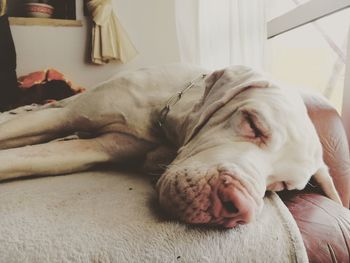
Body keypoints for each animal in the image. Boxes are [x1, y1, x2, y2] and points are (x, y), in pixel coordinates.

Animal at [0, 64, 340, 229]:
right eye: (253, 124)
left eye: (282, 187)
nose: (237, 208)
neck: (164, 116)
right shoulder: (65, 117)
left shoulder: (100, 148)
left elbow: (27, 157)